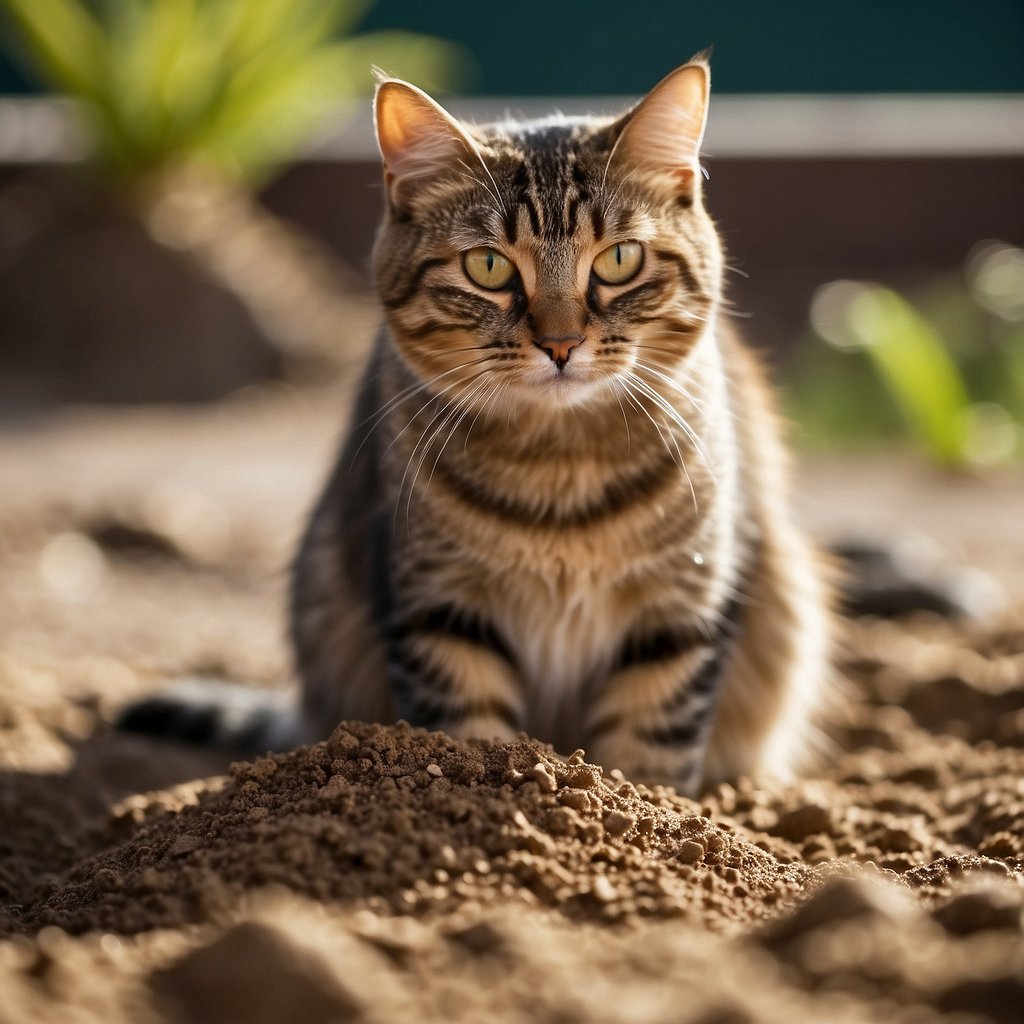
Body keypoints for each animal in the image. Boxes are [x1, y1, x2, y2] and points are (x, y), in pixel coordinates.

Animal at [119, 54, 831, 790]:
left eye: (619, 259)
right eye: (488, 266)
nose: (561, 343)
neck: (559, 474)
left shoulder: (681, 611)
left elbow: (648, 757)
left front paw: (636, 810)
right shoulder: (436, 608)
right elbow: (470, 739)